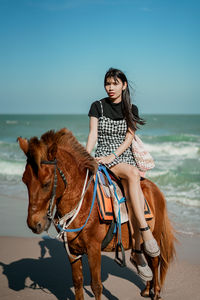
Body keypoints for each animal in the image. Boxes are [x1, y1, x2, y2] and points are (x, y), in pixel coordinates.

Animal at [18, 127, 175, 298]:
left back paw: (156, 292)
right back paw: (147, 289)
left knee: (154, 261)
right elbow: (78, 282)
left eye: (46, 184)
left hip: (154, 235)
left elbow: (96, 286)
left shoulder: (94, 249)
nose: (34, 224)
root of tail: (155, 188)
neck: (82, 201)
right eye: (24, 181)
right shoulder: (72, 250)